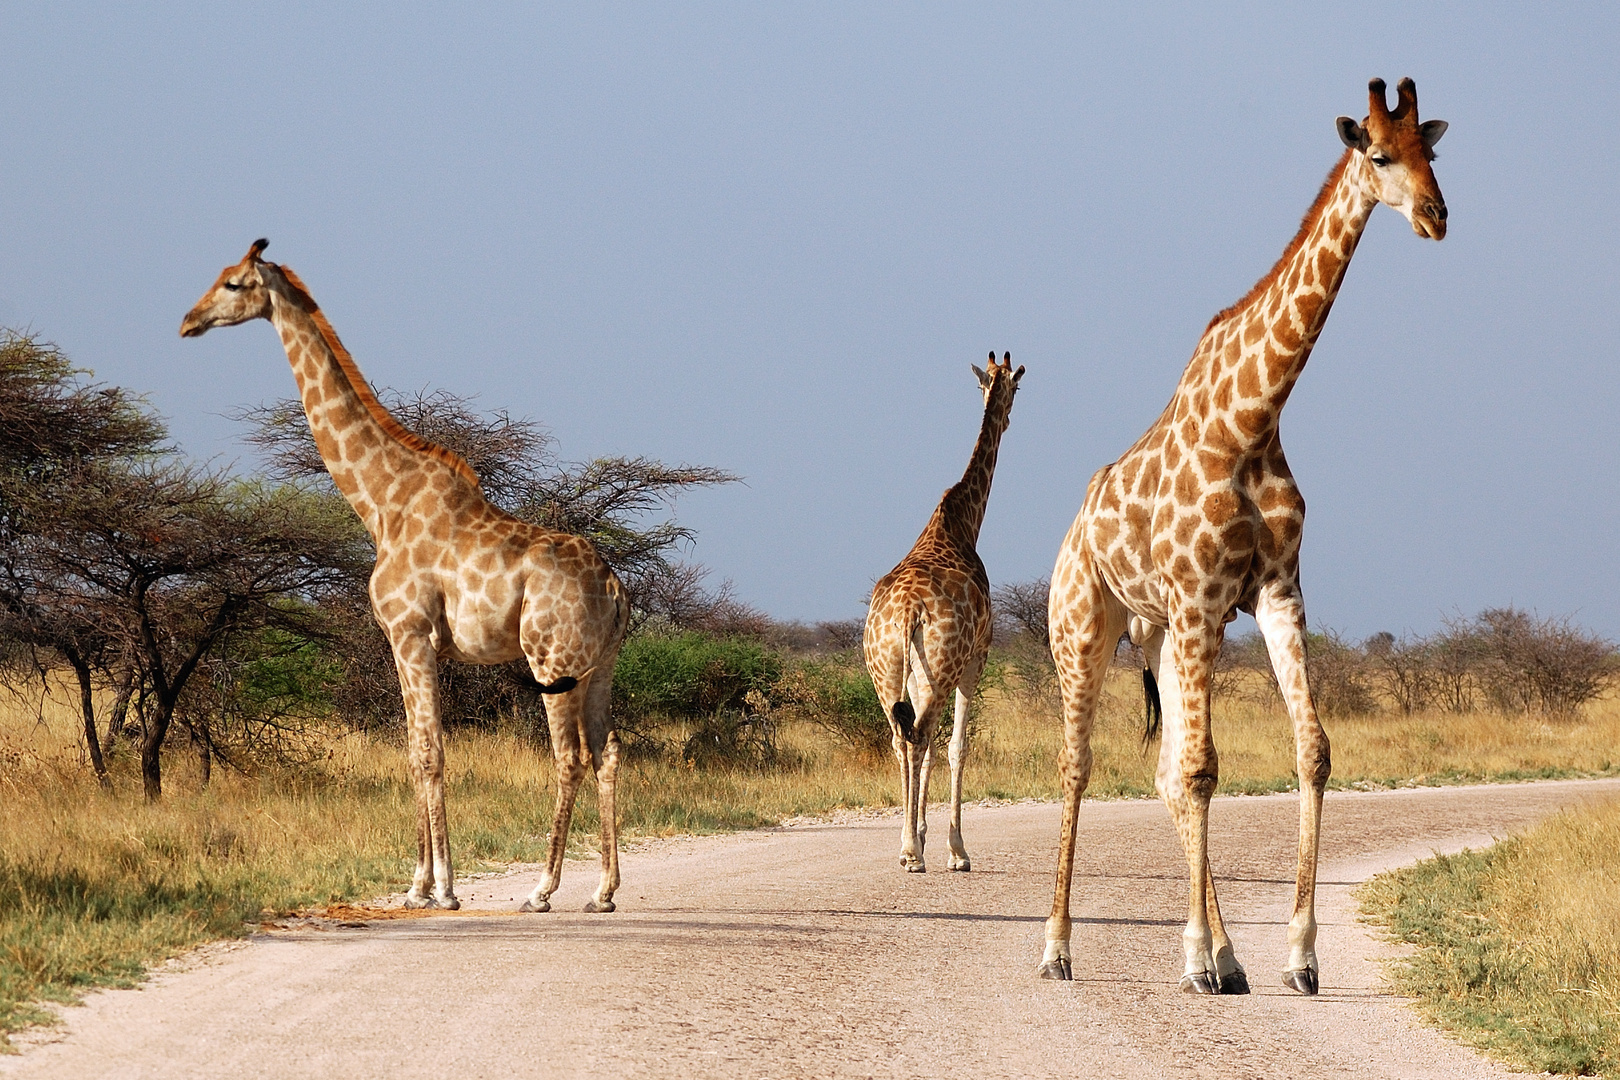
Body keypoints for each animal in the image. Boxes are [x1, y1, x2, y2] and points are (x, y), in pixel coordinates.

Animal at [180, 242, 625, 913]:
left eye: (233, 283)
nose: (189, 322)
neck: (381, 503)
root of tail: (616, 589)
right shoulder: (416, 641)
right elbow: (418, 751)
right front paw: (424, 883)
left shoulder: (408, 633)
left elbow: (426, 752)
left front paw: (437, 889)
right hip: (598, 667)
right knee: (608, 753)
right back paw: (603, 890)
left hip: (553, 659)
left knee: (570, 758)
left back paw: (543, 890)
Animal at [861, 354, 1023, 880]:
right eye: (1015, 389)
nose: (1007, 418)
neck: (963, 522)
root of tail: (908, 611)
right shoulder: (976, 660)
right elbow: (956, 748)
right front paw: (954, 849)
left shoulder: (922, 674)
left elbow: (931, 748)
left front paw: (927, 836)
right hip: (943, 663)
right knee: (921, 737)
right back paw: (914, 852)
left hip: (886, 671)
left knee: (902, 739)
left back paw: (907, 845)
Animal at [1036, 80, 1445, 997]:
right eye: (1379, 154)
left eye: (1434, 151)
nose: (1437, 217)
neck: (1254, 420)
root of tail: (1075, 527)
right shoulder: (1200, 599)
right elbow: (1202, 770)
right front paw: (1192, 956)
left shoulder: (1275, 592)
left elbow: (1311, 751)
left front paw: (1297, 956)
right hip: (1084, 626)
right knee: (1081, 764)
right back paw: (1059, 949)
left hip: (1157, 632)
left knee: (1161, 771)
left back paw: (1229, 959)